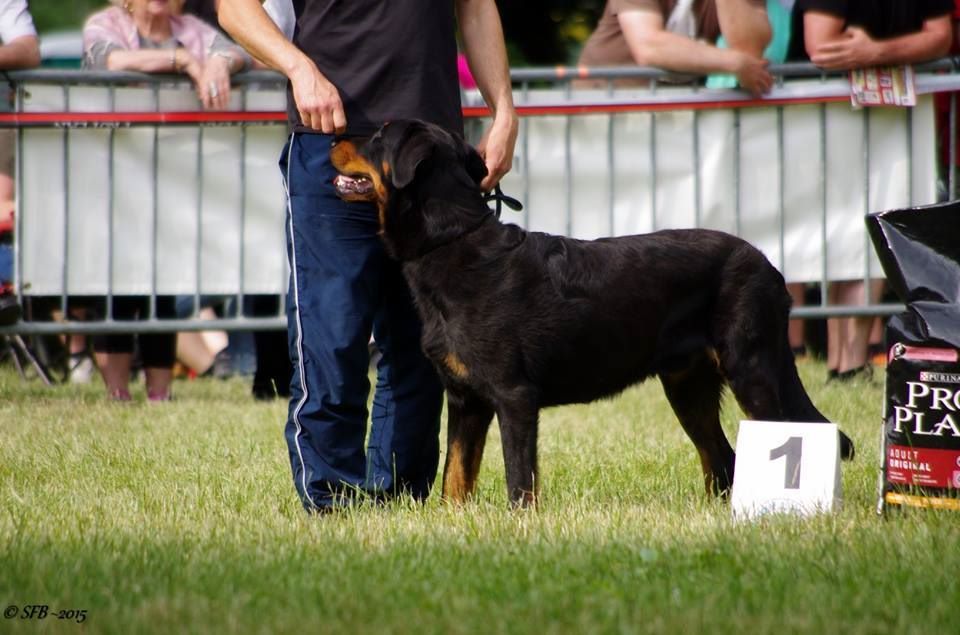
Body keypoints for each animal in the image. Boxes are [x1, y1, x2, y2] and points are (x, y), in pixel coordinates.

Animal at [330, 119, 856, 506]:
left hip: (754, 368)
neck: (450, 243)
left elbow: (519, 479)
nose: (333, 137)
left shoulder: (513, 396)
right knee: (720, 457)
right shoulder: (465, 399)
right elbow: (455, 478)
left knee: (780, 436)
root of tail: (769, 266)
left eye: (377, 137)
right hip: (687, 384)